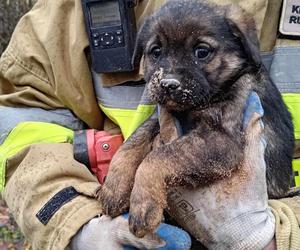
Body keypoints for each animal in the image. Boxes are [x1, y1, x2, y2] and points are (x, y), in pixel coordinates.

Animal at [99, 0, 294, 237]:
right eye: (156, 51)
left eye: (202, 52)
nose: (168, 85)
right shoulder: (161, 115)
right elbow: (133, 141)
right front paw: (113, 187)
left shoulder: (221, 140)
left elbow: (158, 157)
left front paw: (143, 205)